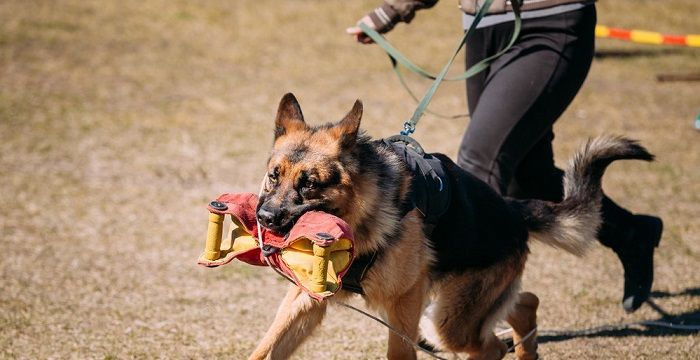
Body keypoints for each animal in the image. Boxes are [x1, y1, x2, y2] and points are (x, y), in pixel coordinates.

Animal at [249, 93, 652, 360]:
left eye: (309, 184)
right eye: (273, 176)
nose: (264, 218)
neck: (360, 217)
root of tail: (511, 210)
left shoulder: (405, 304)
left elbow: (398, 353)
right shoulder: (304, 299)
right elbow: (266, 348)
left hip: (444, 322)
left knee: (490, 345)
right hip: (454, 308)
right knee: (524, 303)